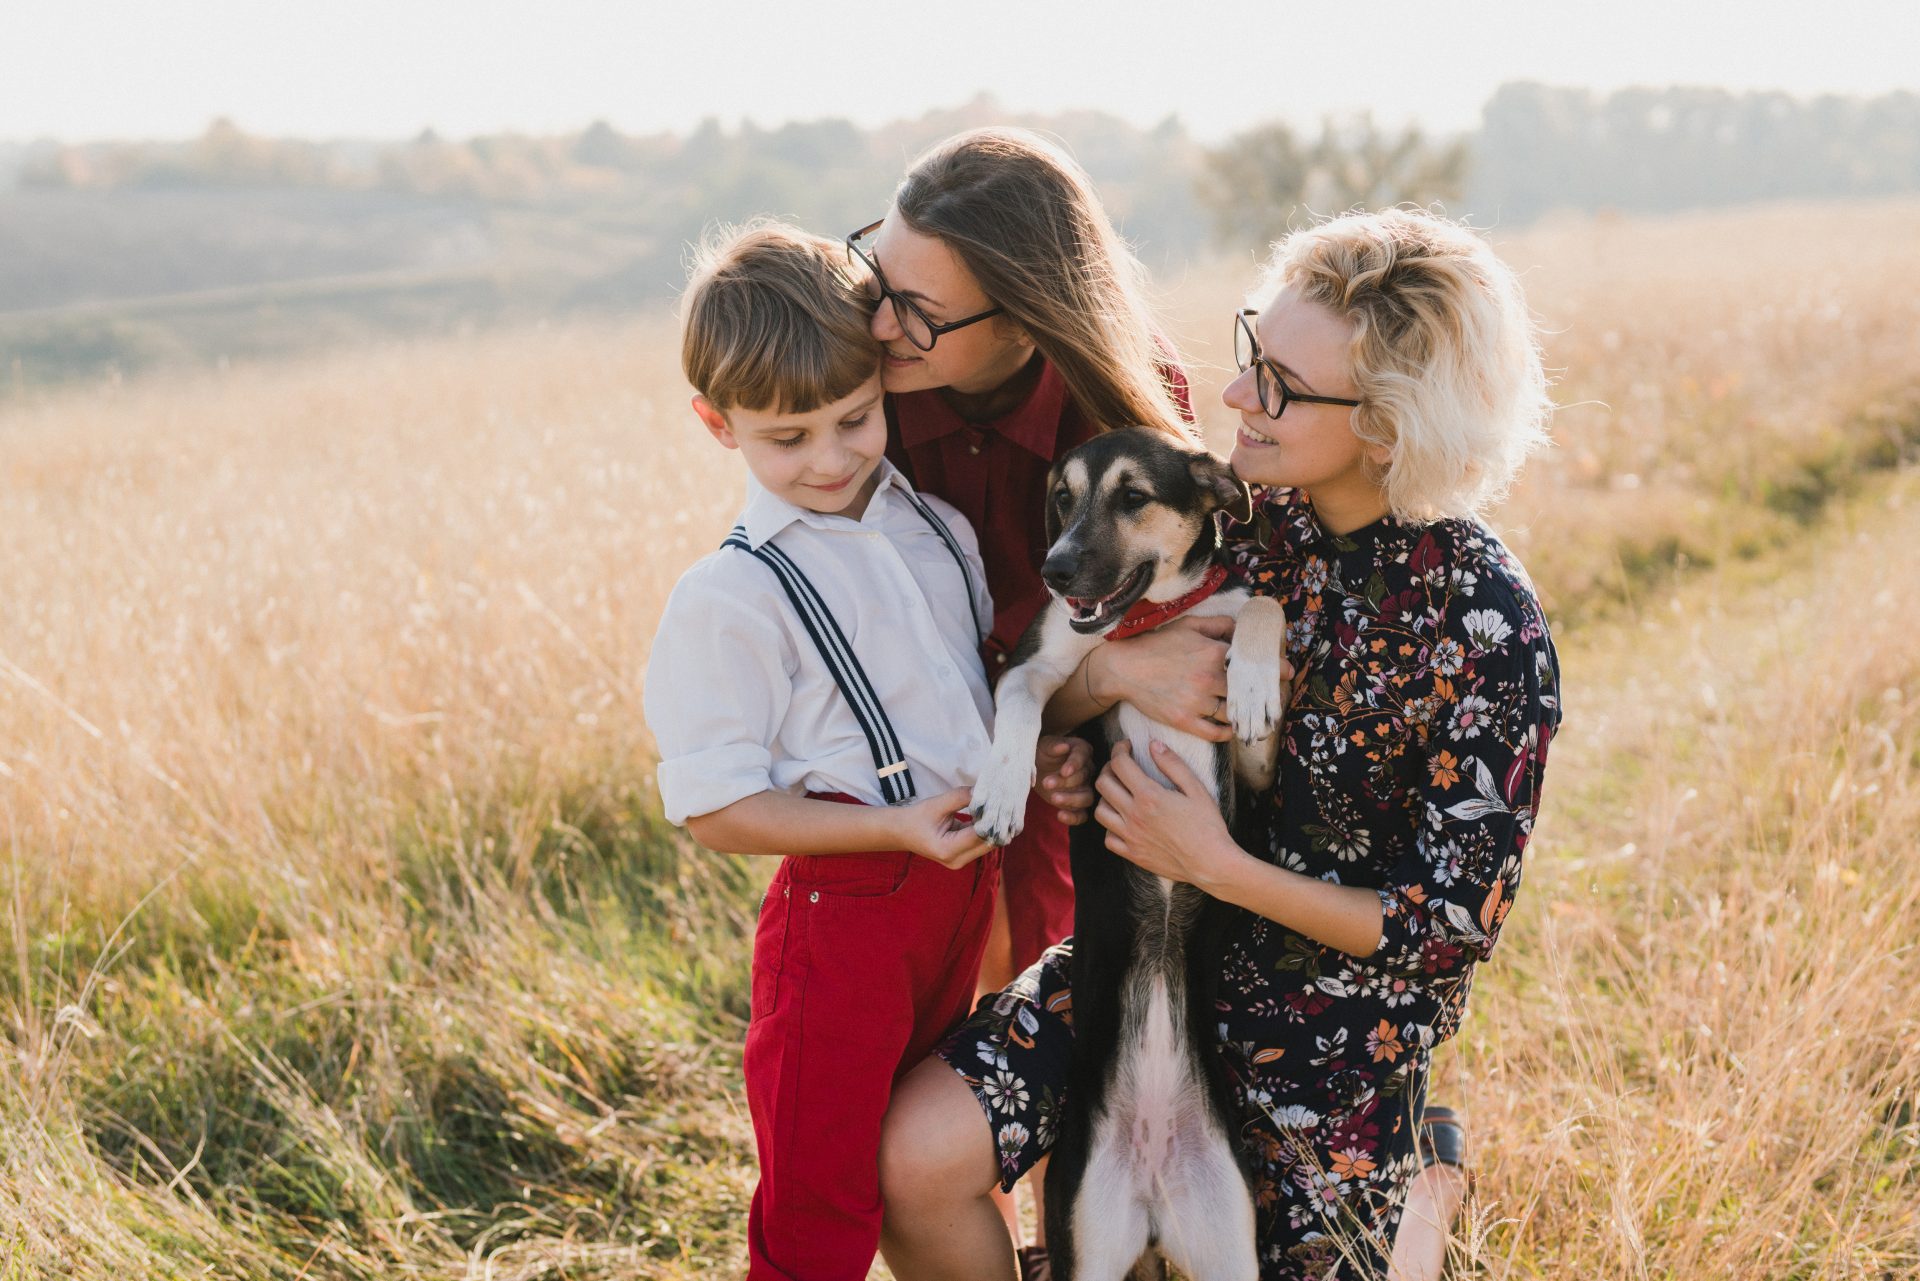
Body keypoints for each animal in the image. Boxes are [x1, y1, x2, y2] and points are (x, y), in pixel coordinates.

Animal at [967, 428, 1282, 1281]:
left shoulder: (1254, 769)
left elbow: (1262, 604)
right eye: (1063, 497)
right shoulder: (1038, 661)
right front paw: (1003, 787)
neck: (1152, 618)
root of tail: (1151, 1186)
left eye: (1133, 496)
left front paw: (1255, 683)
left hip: (1230, 1242)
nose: (1055, 570)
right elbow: (1016, 706)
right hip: (1085, 1237)